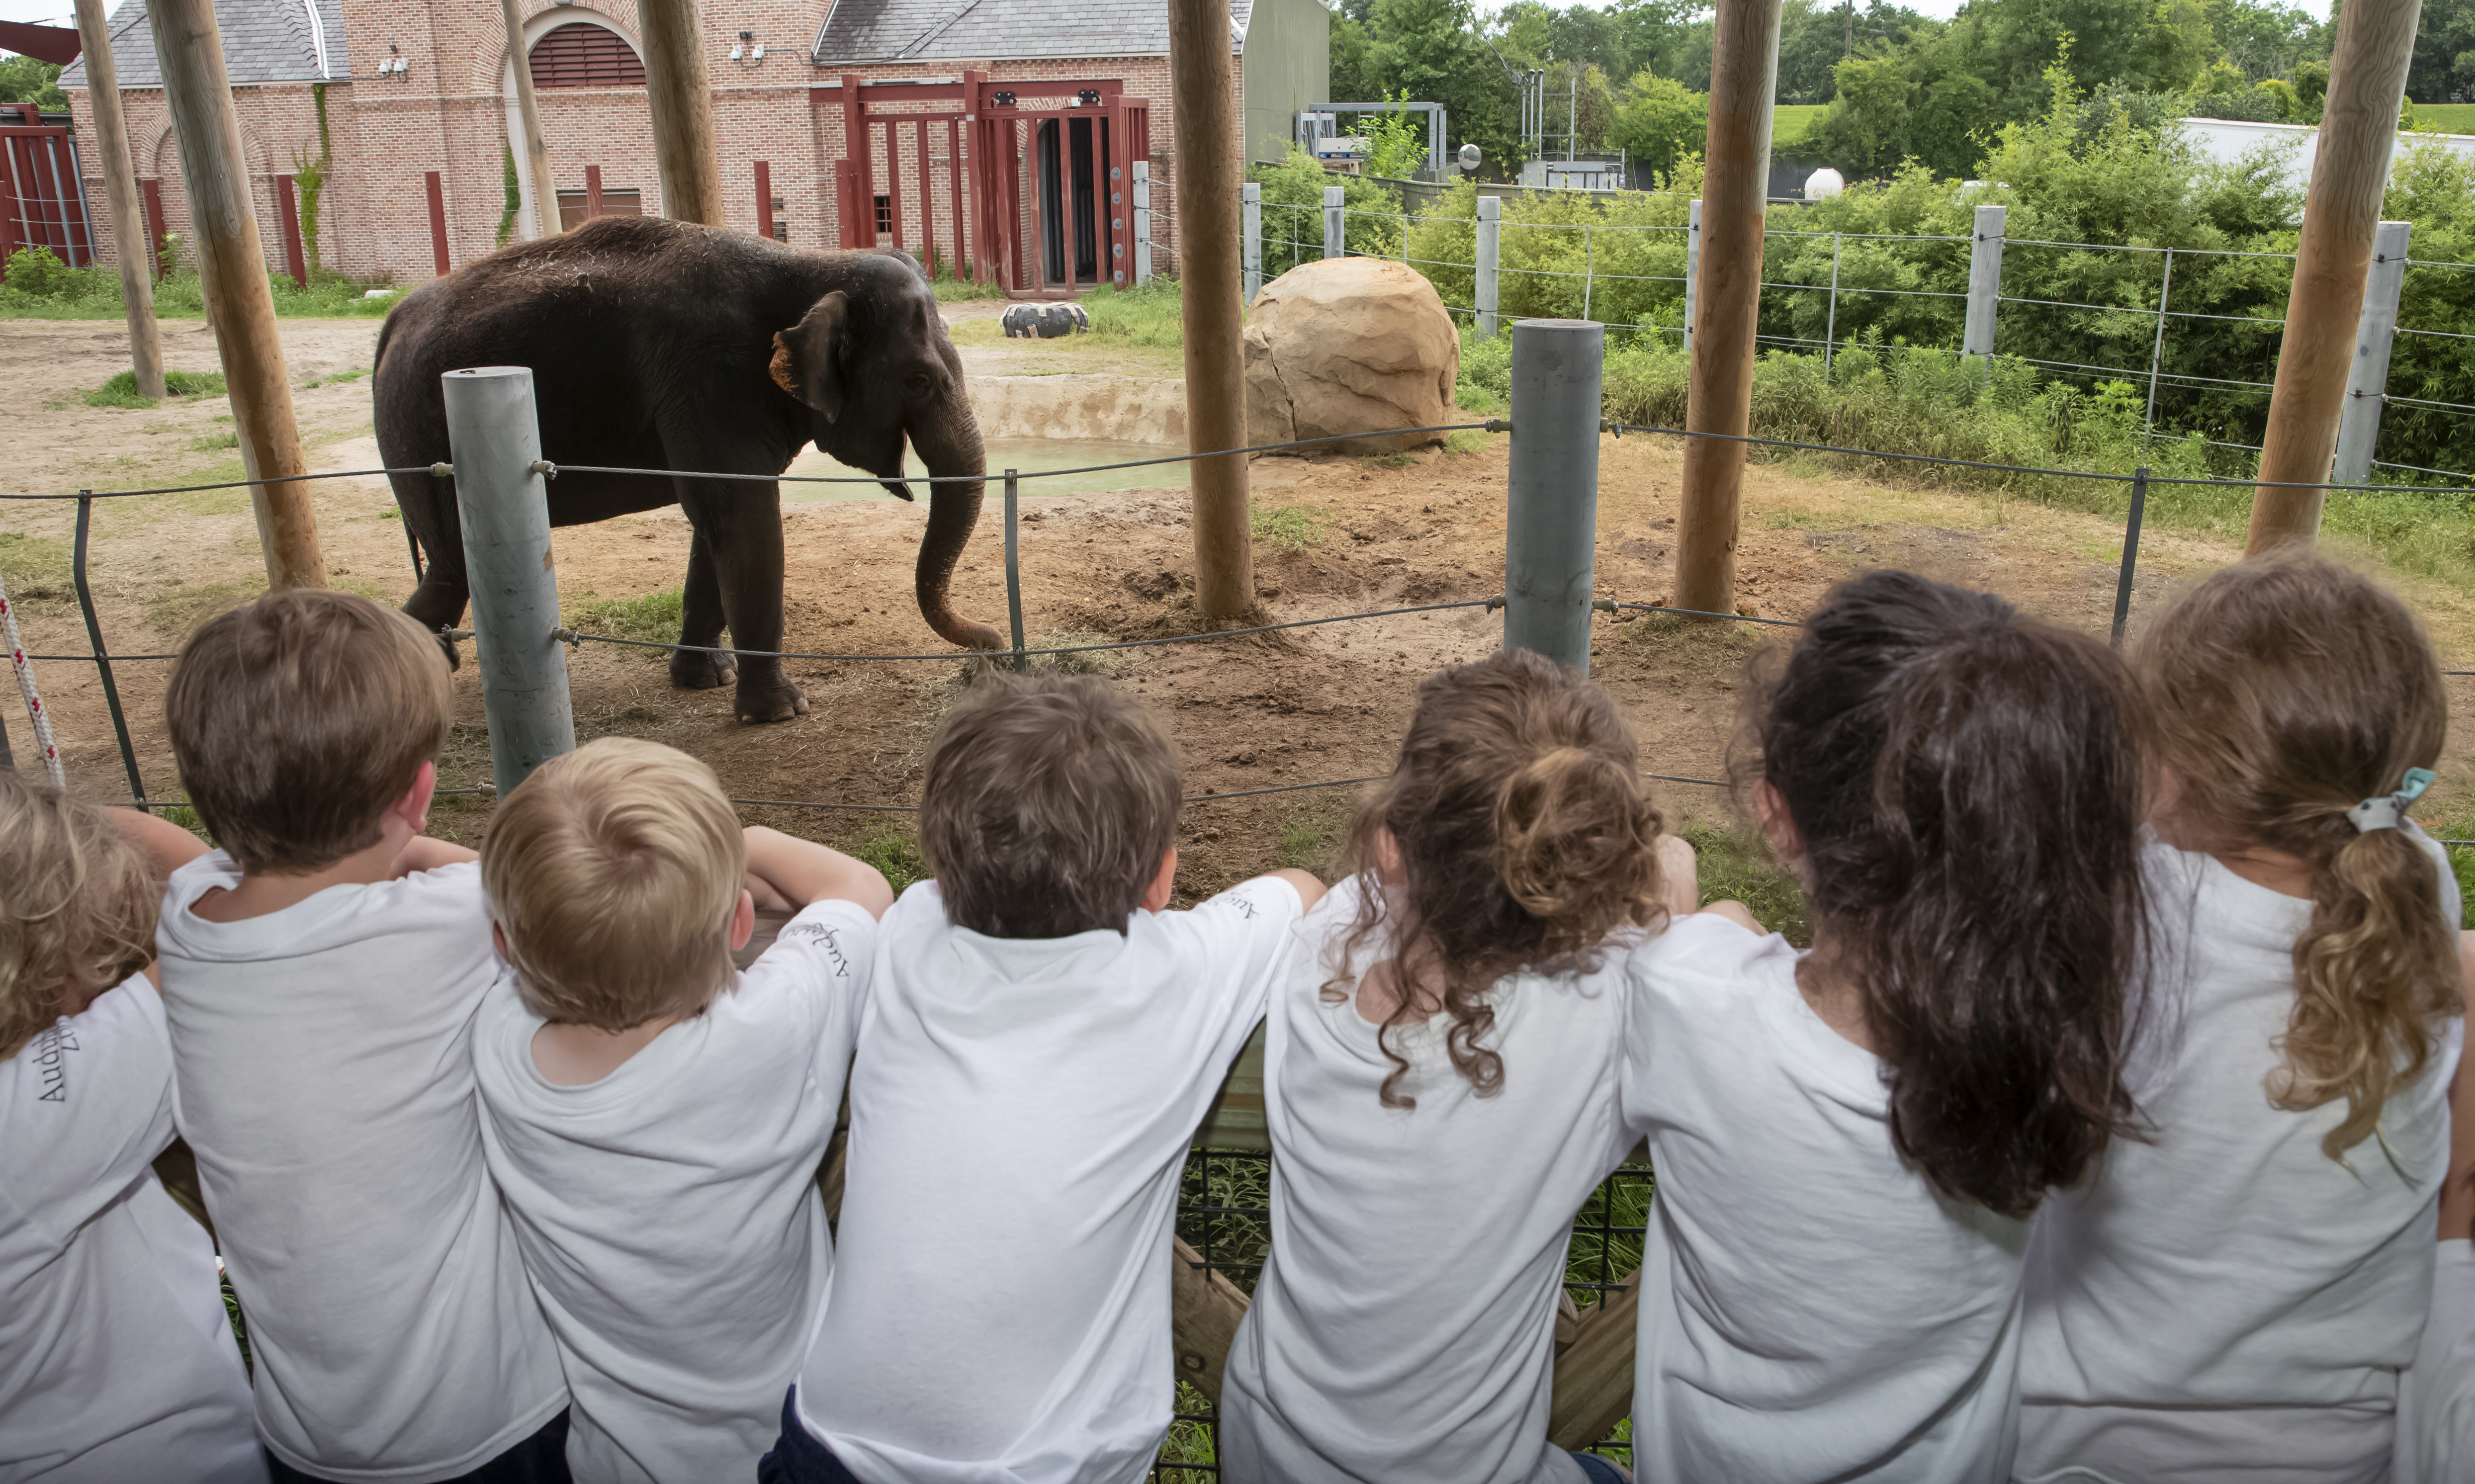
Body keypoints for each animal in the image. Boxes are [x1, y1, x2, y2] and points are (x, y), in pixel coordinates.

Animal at [372, 215, 1001, 723]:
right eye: (918, 381)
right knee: (453, 566)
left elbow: (715, 527)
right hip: (419, 430)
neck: (811, 265)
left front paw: (709, 679)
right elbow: (745, 520)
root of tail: (393, 320)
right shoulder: (709, 378)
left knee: (447, 569)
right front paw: (782, 712)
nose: (993, 644)